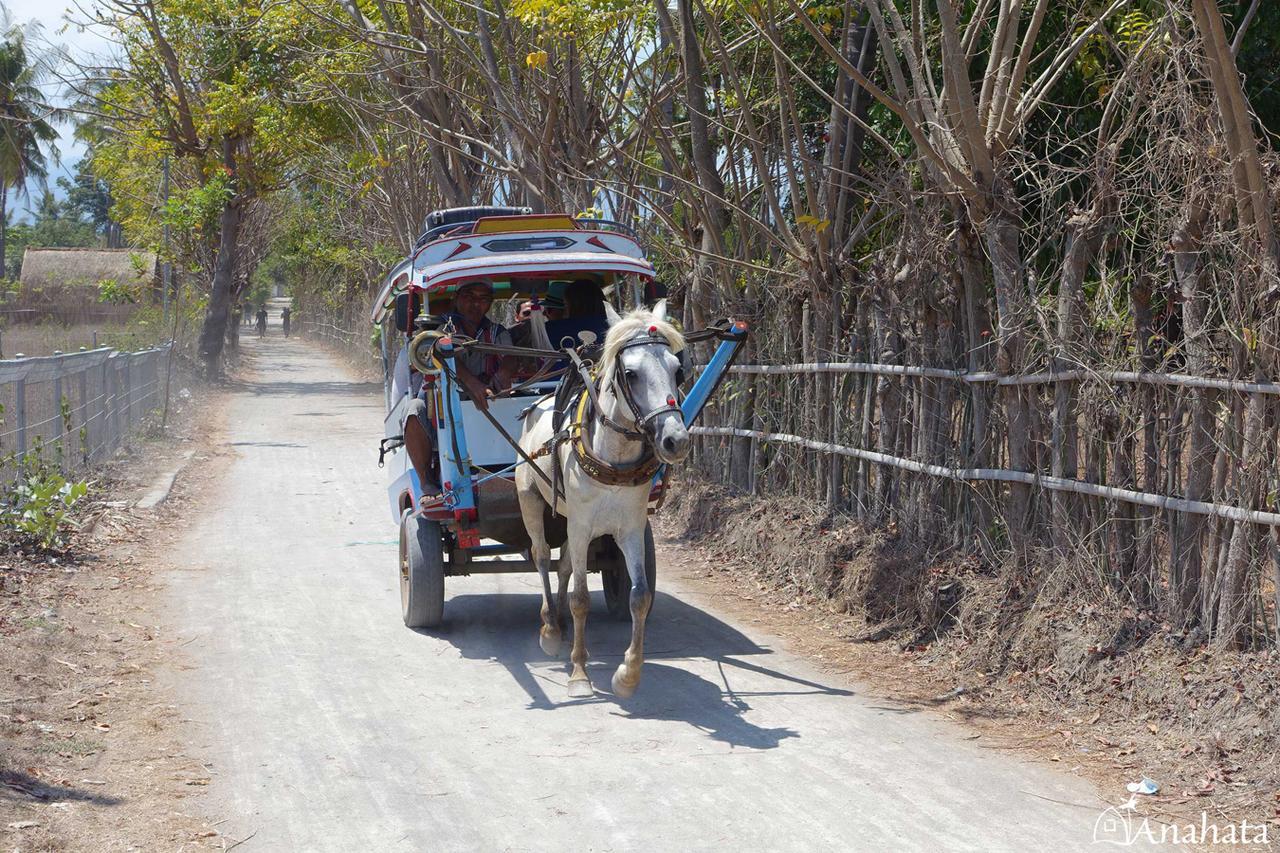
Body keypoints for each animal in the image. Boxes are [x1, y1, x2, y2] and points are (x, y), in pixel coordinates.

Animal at [514, 302, 691, 696]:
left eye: (678, 369)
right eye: (631, 373)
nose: (675, 440)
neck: (612, 456)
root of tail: (536, 405)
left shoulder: (630, 528)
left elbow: (640, 597)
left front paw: (628, 675)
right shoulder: (581, 526)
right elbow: (581, 598)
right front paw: (580, 673)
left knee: (564, 565)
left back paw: (561, 621)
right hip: (530, 500)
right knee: (542, 557)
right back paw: (550, 627)